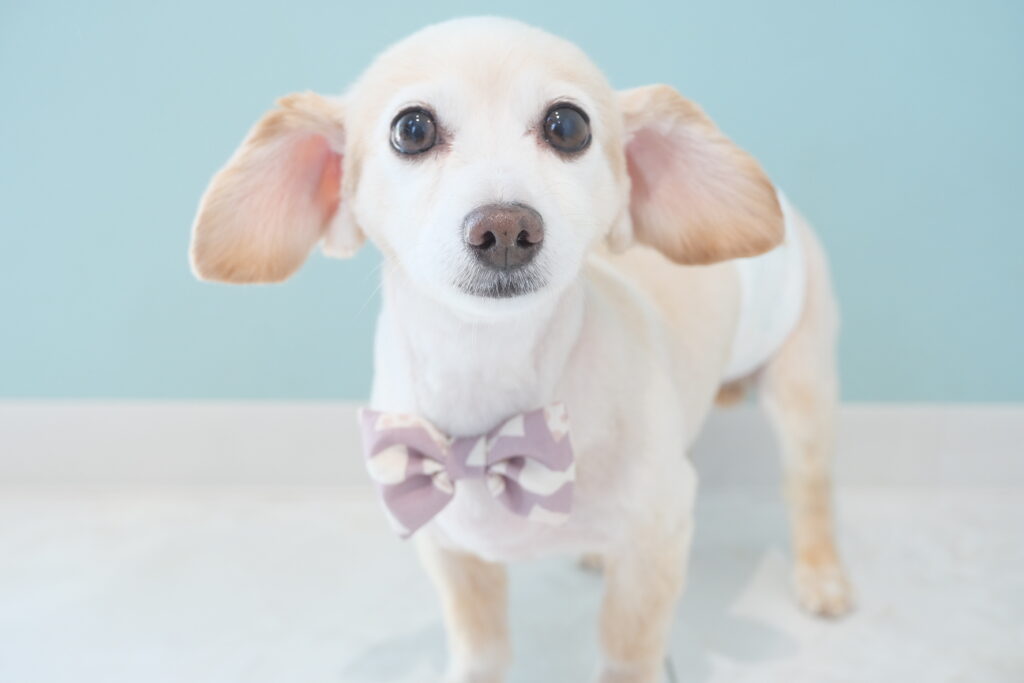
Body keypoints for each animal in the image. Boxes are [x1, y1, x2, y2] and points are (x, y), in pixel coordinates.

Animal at [189, 17, 853, 682]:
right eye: (412, 129)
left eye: (568, 126)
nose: (505, 227)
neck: (491, 393)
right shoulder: (449, 549)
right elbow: (481, 647)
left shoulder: (658, 539)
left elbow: (627, 649)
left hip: (802, 392)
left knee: (809, 488)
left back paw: (822, 577)